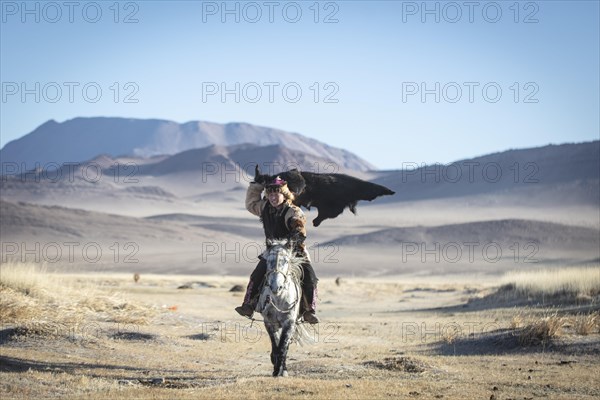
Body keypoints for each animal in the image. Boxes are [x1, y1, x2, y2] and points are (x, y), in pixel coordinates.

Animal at [258, 239, 314, 376]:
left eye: (286, 261)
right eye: (268, 261)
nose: (275, 287)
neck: (279, 298)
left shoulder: (289, 323)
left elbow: (283, 347)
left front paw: (280, 370)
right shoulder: (269, 323)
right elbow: (276, 346)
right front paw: (275, 369)